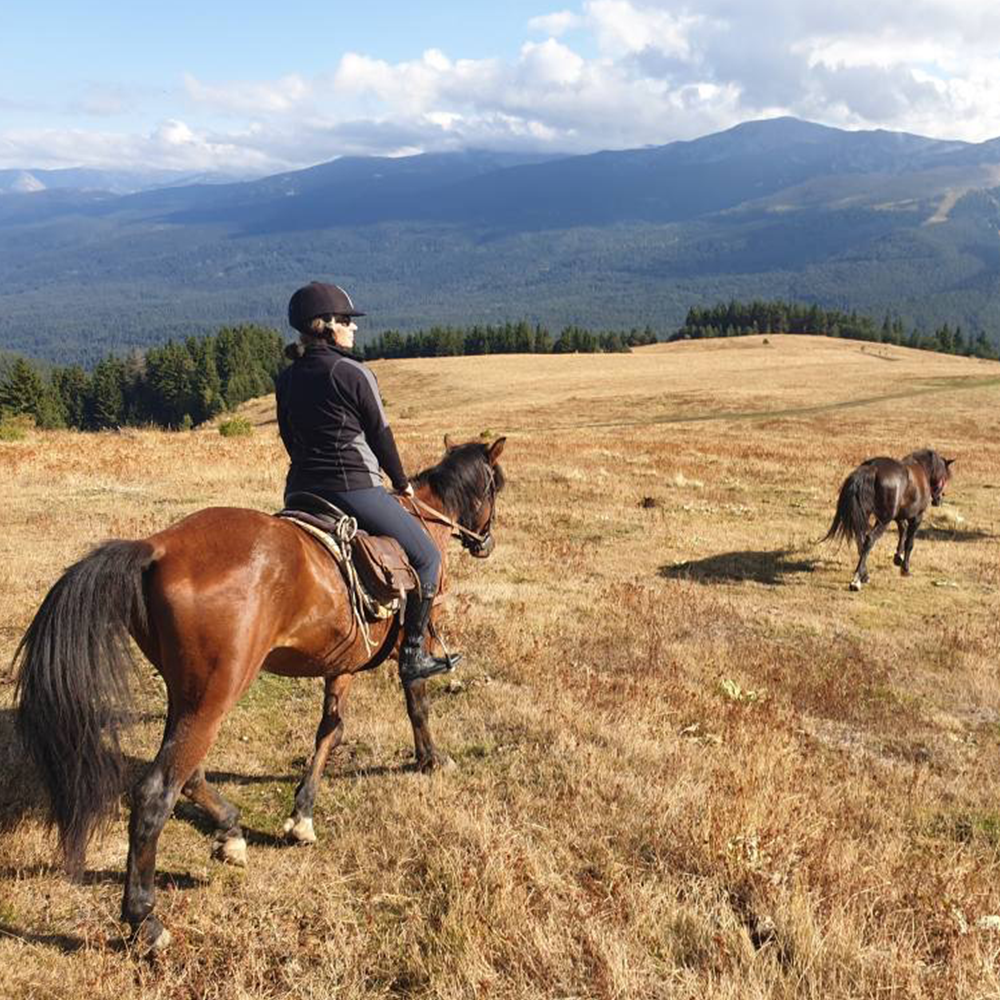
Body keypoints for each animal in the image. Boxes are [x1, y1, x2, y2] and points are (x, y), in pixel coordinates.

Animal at [12, 438, 504, 952]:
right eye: (496, 486)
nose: (485, 541)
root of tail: (157, 548)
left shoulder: (343, 663)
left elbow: (329, 731)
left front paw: (302, 815)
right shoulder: (416, 638)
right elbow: (416, 702)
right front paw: (431, 759)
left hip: (191, 694)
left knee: (189, 773)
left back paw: (229, 831)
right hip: (215, 695)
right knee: (155, 792)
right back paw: (145, 920)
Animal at [824, 448, 956, 592]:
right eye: (944, 478)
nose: (939, 499)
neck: (922, 470)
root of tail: (872, 469)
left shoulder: (898, 516)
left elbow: (902, 530)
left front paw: (898, 557)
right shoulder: (916, 518)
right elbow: (909, 542)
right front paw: (905, 568)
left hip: (867, 516)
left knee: (861, 540)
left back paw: (864, 575)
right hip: (883, 520)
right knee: (869, 540)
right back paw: (856, 580)